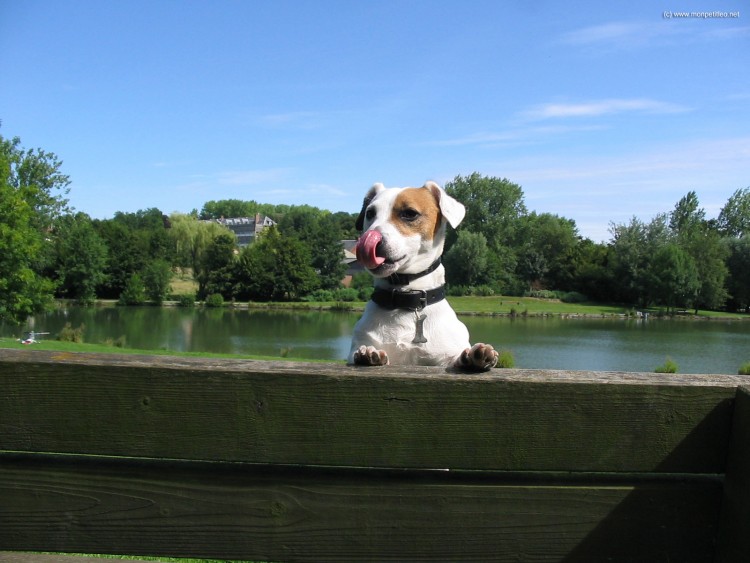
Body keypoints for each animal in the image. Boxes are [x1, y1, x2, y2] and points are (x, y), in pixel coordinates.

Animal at [352, 183, 502, 372]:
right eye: (370, 213)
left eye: (410, 213)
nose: (369, 239)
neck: (405, 300)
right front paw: (369, 353)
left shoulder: (444, 357)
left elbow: (456, 358)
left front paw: (475, 356)